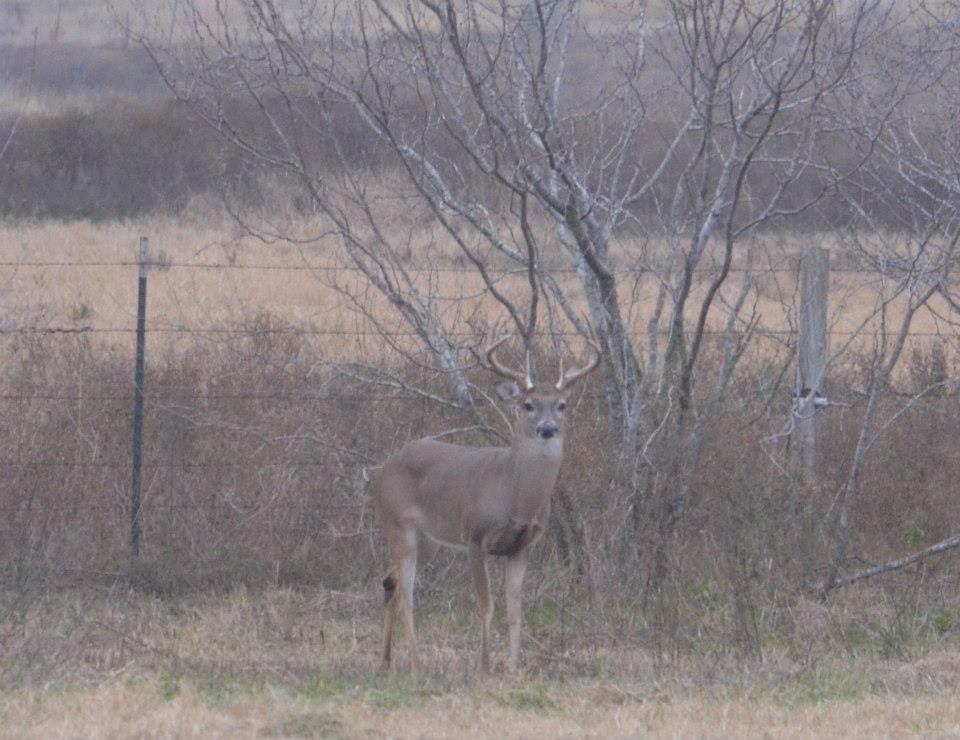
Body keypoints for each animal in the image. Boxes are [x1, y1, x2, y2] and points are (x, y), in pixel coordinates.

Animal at [373, 328, 601, 675]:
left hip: (429, 541)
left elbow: (515, 610)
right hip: (398, 525)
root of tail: (384, 468)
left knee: (390, 582)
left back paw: (386, 662)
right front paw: (485, 666)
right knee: (406, 595)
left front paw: (514, 669)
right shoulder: (475, 537)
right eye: (528, 404)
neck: (514, 495)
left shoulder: (521, 546)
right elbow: (486, 605)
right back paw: (416, 665)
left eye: (562, 405)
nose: (547, 429)